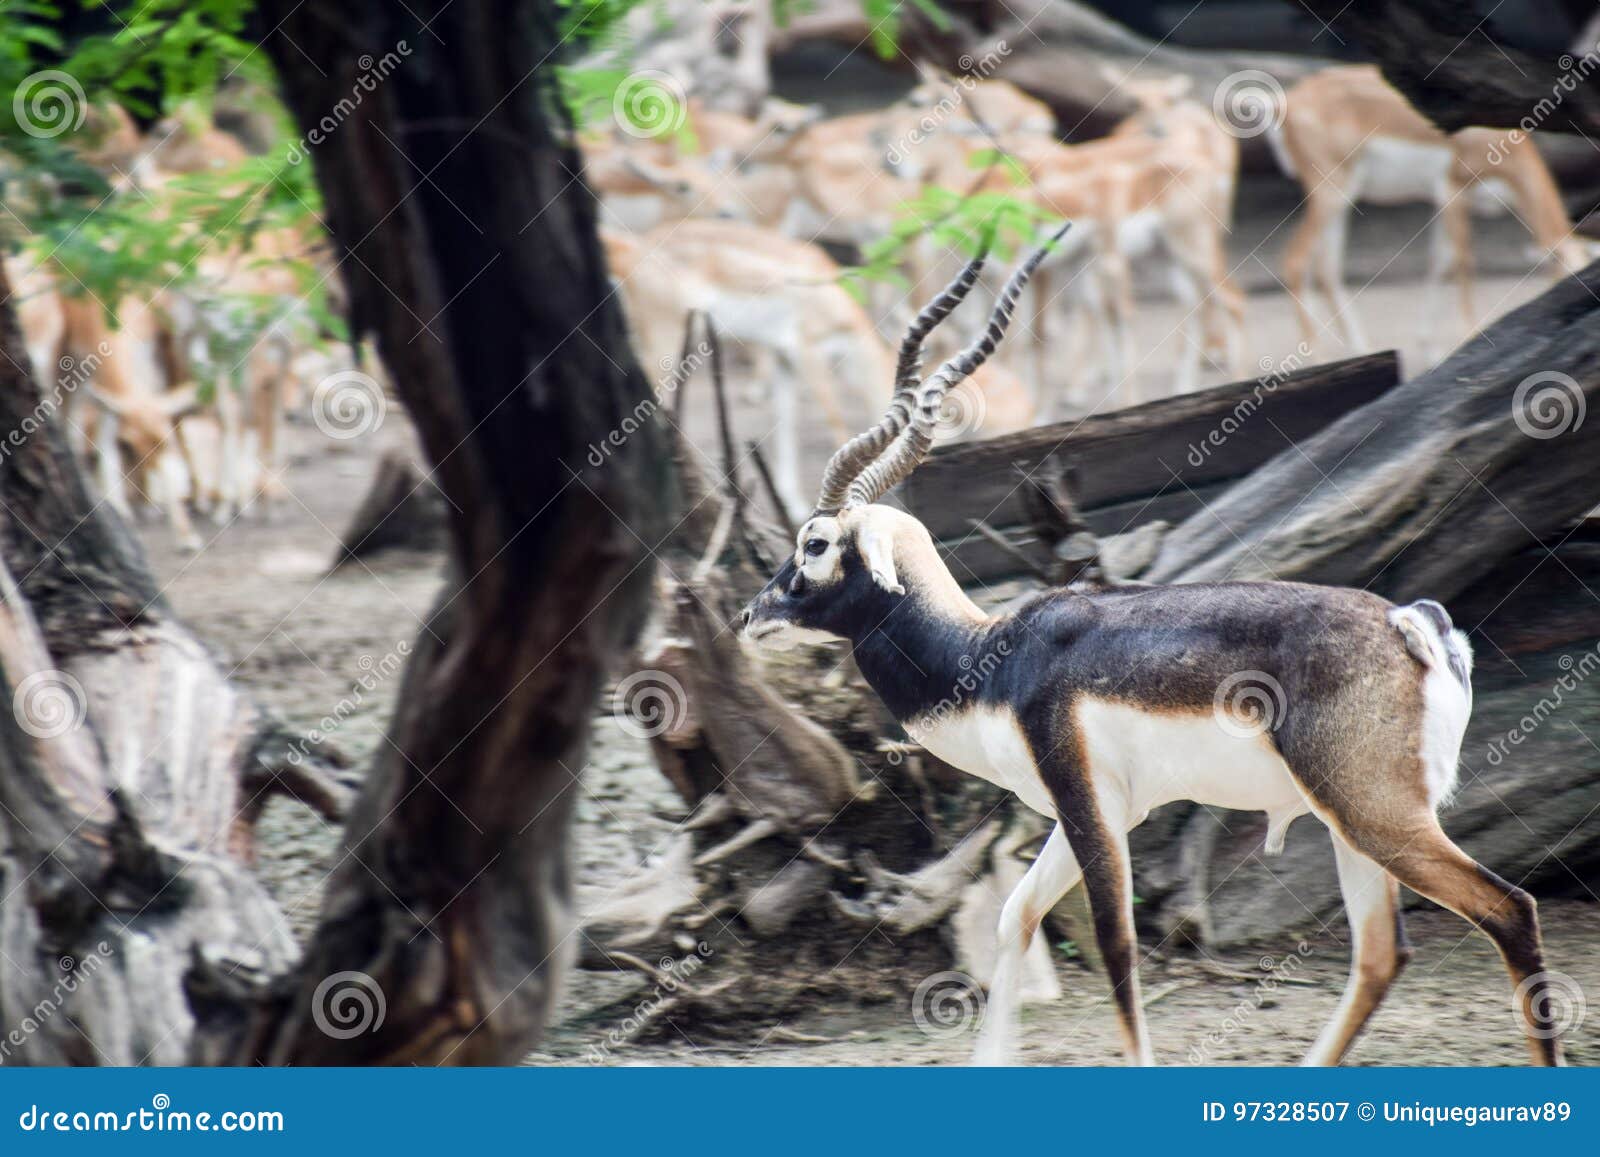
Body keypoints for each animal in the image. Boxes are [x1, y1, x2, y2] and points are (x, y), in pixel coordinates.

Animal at [738, 241, 1563, 1067]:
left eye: (815, 543)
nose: (750, 612)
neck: (993, 657)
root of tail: (1411, 622)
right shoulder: (1098, 811)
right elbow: (1013, 916)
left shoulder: (1088, 806)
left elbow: (1116, 944)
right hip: (1353, 822)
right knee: (1381, 952)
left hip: (1377, 813)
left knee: (1509, 908)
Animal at [1272, 65, 1590, 357]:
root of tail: (1289, 101)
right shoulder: (1452, 193)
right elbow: (1463, 261)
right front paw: (1469, 334)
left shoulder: (1443, 205)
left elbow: (1440, 260)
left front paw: (1427, 345)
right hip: (1331, 194)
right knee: (1296, 259)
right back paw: (1316, 353)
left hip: (1341, 200)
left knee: (1326, 267)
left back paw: (1360, 348)